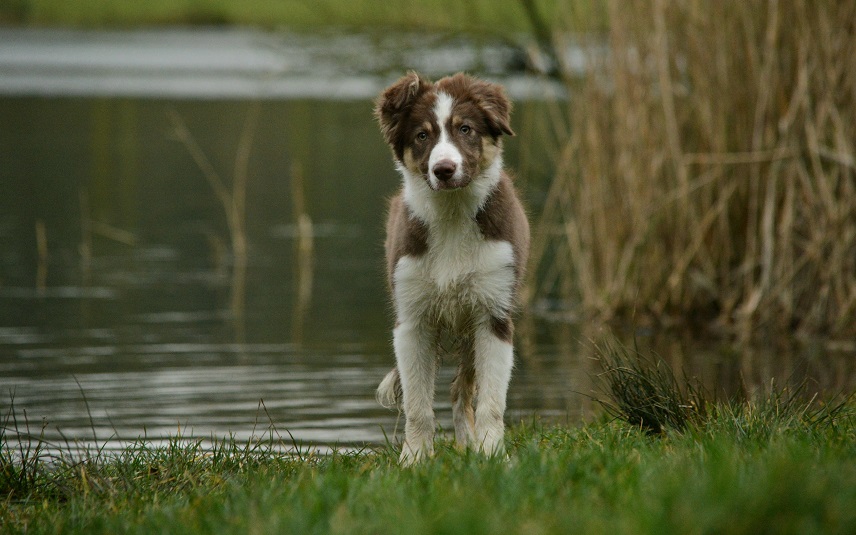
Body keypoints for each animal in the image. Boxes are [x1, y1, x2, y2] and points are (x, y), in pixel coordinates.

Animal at [374, 71, 528, 464]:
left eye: (466, 129)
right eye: (422, 135)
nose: (444, 170)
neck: (452, 214)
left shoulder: (493, 313)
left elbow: (491, 401)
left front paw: (493, 456)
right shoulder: (412, 318)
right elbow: (417, 405)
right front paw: (413, 461)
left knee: (462, 391)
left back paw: (469, 445)